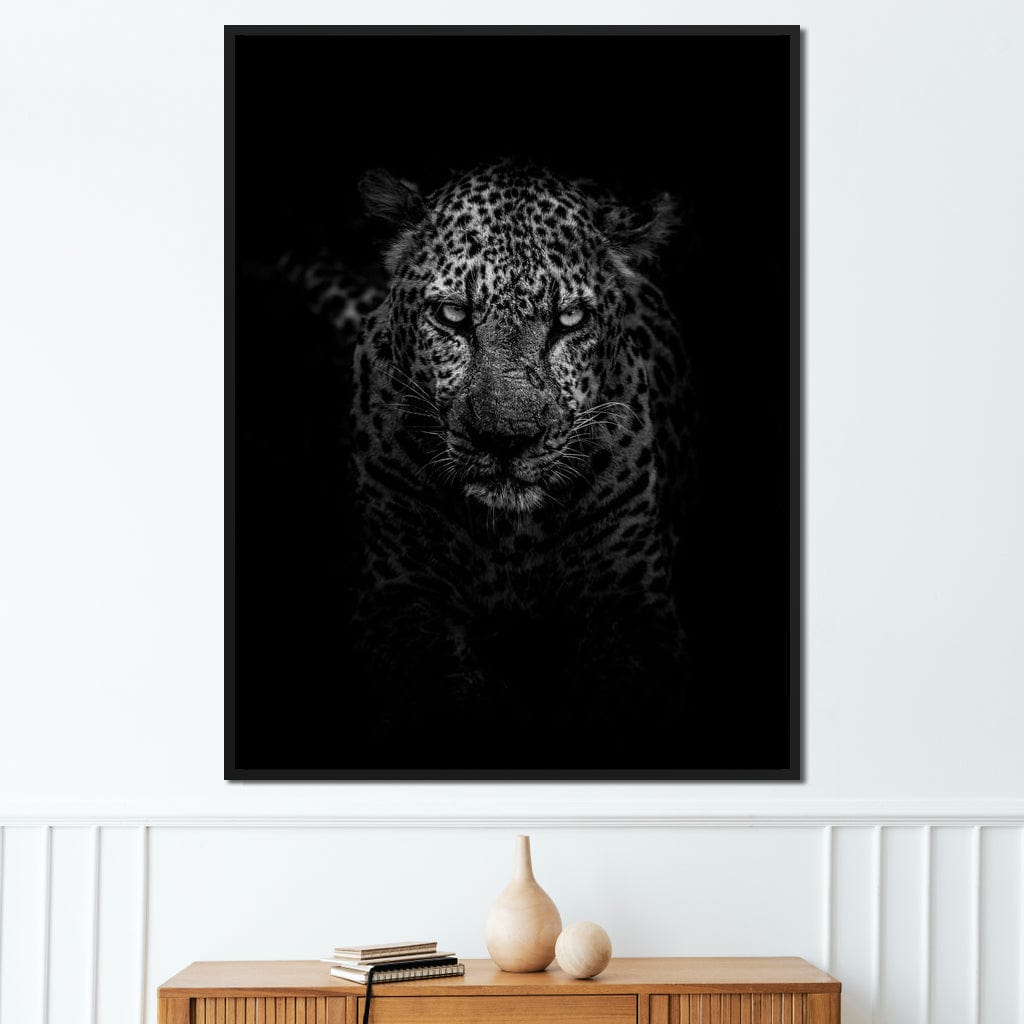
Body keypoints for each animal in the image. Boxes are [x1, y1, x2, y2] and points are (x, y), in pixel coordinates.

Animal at [274, 161, 696, 737]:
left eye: (569, 320)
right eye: (453, 315)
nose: (505, 438)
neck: (511, 536)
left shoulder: (635, 605)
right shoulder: (396, 594)